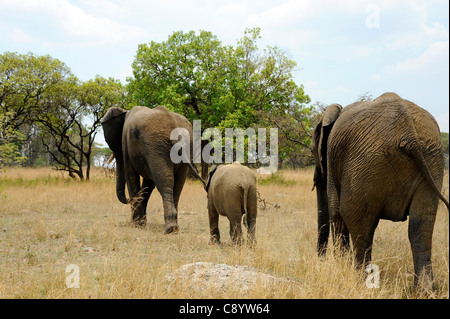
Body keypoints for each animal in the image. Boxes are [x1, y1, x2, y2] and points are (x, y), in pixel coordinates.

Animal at [100, 106, 206, 234]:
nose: (127, 200)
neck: (124, 111)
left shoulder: (126, 144)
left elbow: (131, 176)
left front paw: (137, 224)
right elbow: (148, 184)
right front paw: (141, 222)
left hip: (156, 146)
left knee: (164, 183)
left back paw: (170, 228)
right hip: (185, 147)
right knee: (177, 187)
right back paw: (174, 227)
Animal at [312, 92, 450, 292]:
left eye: (312, 151)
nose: (319, 262)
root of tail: (408, 131)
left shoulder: (332, 159)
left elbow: (336, 214)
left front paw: (340, 270)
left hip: (366, 161)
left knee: (360, 224)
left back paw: (361, 282)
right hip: (432, 156)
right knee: (421, 226)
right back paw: (424, 292)